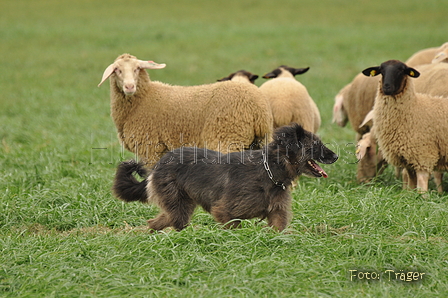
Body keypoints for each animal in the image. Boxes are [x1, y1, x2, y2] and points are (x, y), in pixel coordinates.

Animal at [98, 53, 272, 165]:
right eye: (117, 70)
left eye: (137, 68)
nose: (129, 86)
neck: (145, 97)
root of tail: (258, 108)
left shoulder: (151, 147)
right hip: (260, 141)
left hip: (228, 139)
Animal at [112, 122, 336, 232]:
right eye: (315, 145)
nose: (336, 156)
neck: (270, 170)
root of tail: (157, 166)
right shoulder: (225, 212)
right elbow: (232, 228)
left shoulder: (276, 214)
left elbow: (278, 230)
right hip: (178, 205)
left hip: (180, 206)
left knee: (157, 222)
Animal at [362, 59, 448, 193]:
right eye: (381, 70)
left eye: (401, 70)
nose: (386, 86)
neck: (413, 107)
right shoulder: (407, 158)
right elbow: (411, 183)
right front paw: (410, 195)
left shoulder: (423, 154)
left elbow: (422, 186)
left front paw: (423, 197)